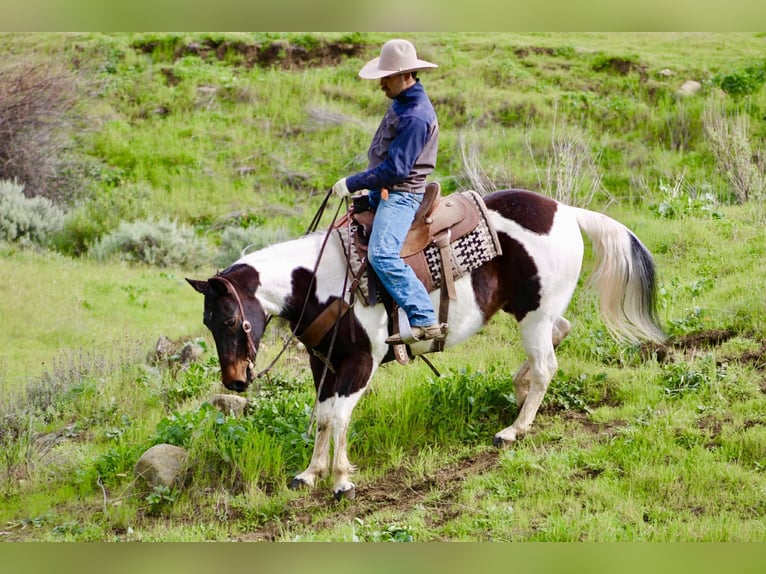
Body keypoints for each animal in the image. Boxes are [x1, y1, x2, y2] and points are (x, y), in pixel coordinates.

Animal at [187, 188, 666, 500]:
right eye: (207, 322)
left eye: (229, 318)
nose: (234, 381)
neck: (320, 283)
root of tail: (565, 210)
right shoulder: (324, 362)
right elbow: (322, 417)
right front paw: (310, 473)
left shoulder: (361, 363)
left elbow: (339, 417)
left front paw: (341, 480)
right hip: (531, 311)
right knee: (558, 335)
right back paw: (519, 390)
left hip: (533, 314)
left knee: (547, 363)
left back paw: (514, 429)